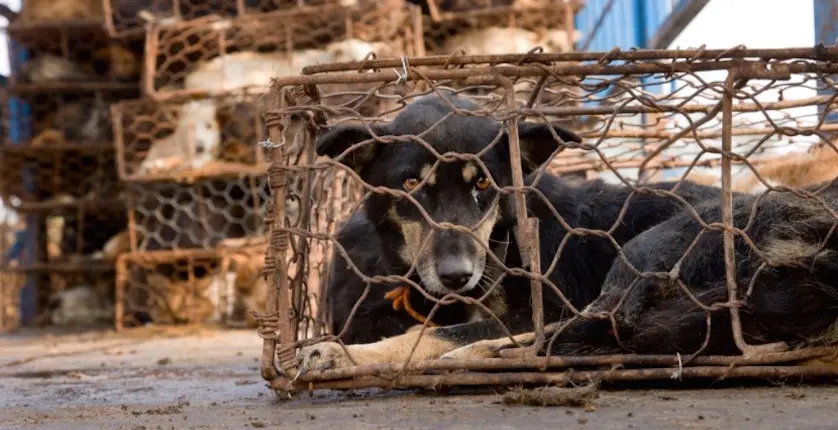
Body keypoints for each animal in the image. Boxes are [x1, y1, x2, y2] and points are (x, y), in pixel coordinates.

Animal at [292, 90, 724, 372]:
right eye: (412, 184)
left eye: (483, 183)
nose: (456, 276)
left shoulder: (548, 303)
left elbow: (440, 334)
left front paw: (345, 354)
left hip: (646, 251)